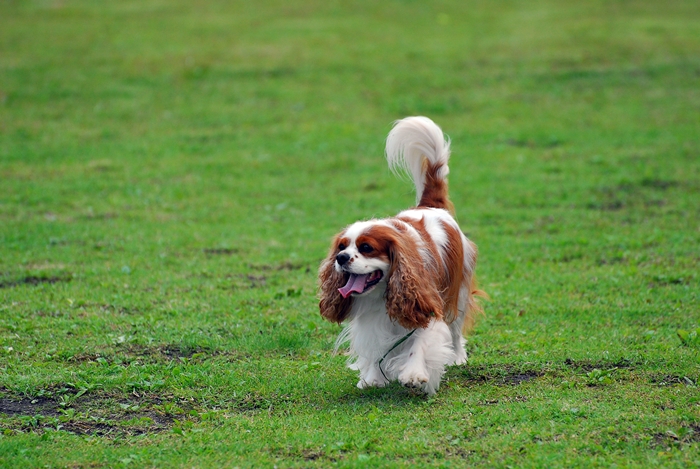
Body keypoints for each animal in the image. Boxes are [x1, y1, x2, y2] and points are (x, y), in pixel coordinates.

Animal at [320, 115, 484, 394]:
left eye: (366, 248)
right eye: (342, 247)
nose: (341, 259)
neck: (382, 295)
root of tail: (430, 206)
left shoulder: (427, 303)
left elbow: (420, 342)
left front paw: (415, 374)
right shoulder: (371, 320)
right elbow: (375, 347)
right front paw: (373, 378)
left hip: (459, 291)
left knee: (455, 328)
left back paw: (457, 356)